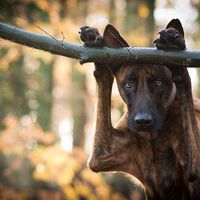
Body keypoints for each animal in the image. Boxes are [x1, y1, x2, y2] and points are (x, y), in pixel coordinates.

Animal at [79, 19, 200, 200]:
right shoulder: (101, 155)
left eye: (158, 83)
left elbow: (183, 81)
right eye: (128, 84)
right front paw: (96, 46)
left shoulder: (194, 164)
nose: (142, 121)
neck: (152, 137)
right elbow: (103, 76)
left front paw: (174, 48)